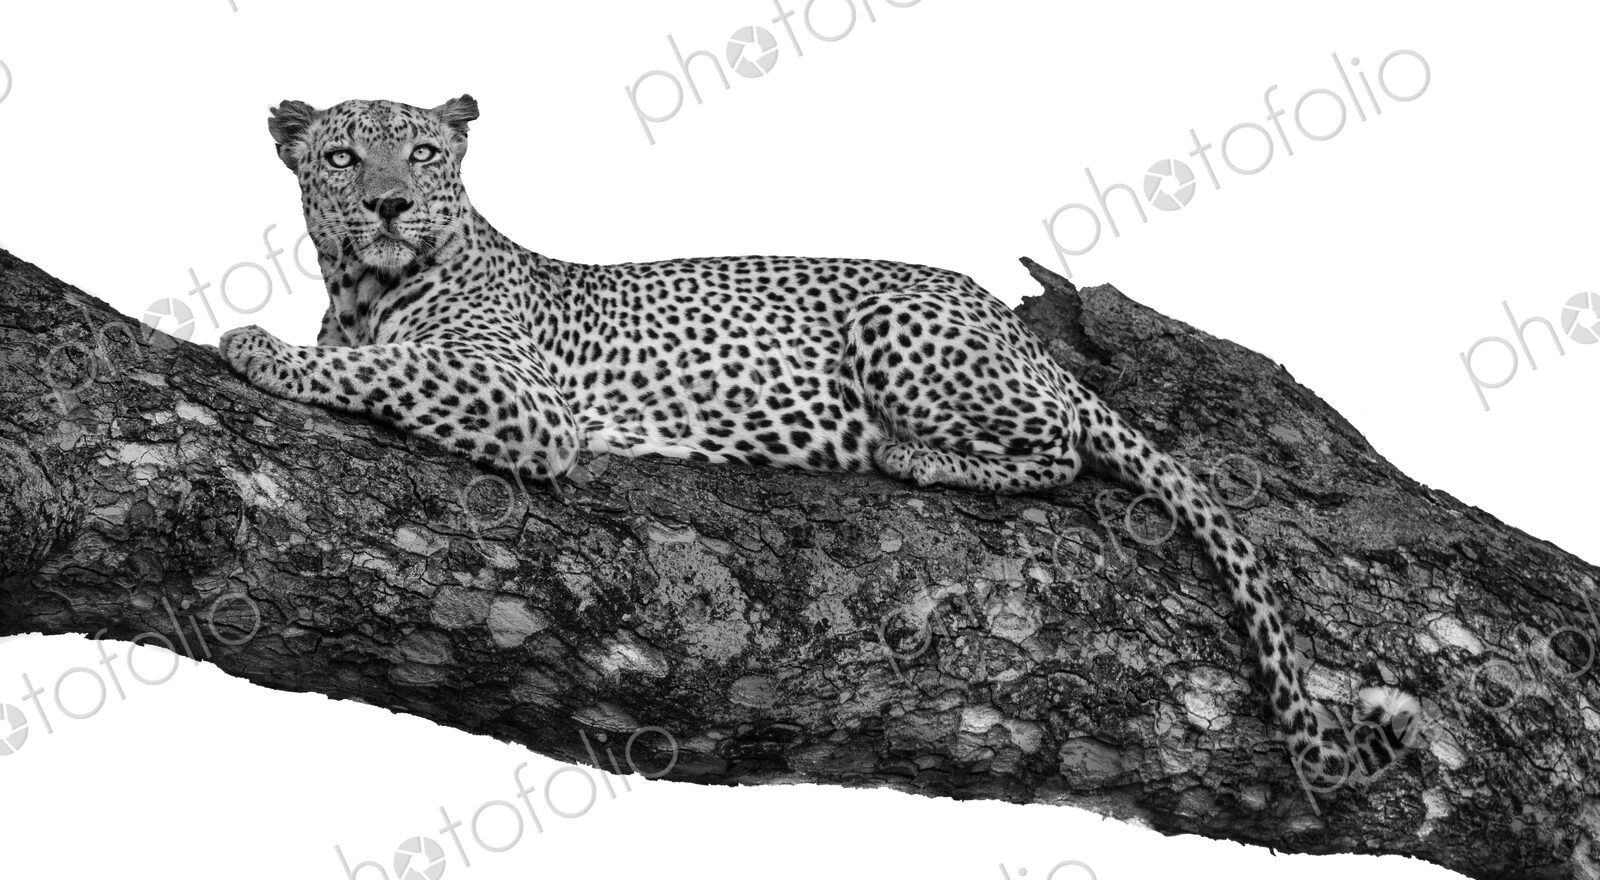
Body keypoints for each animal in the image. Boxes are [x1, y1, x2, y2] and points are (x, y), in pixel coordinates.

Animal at [220, 94, 1422, 789]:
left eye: (425, 152)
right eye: (342, 156)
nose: (388, 204)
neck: (366, 286)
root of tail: (1020, 334)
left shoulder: (522, 397)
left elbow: (376, 371)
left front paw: (256, 346)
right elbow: (369, 360)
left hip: (909, 335)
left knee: (1059, 449)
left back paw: (913, 455)